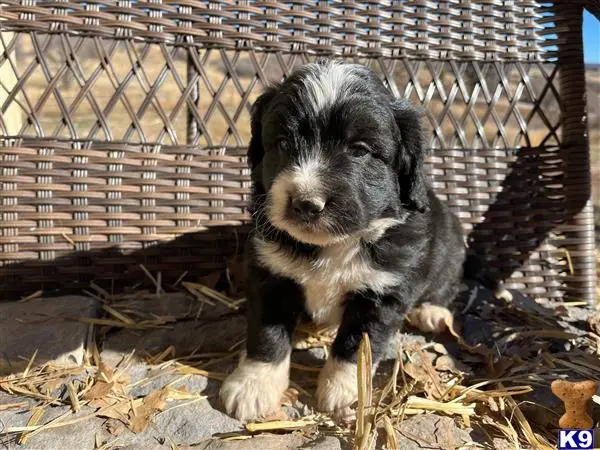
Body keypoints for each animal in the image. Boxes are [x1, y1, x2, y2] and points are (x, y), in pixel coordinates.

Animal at [220, 59, 468, 422]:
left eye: (360, 150)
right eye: (283, 143)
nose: (306, 203)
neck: (333, 245)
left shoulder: (382, 292)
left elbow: (356, 345)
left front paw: (345, 393)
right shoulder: (271, 275)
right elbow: (267, 334)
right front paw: (252, 386)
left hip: (451, 246)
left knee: (446, 284)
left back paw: (433, 311)